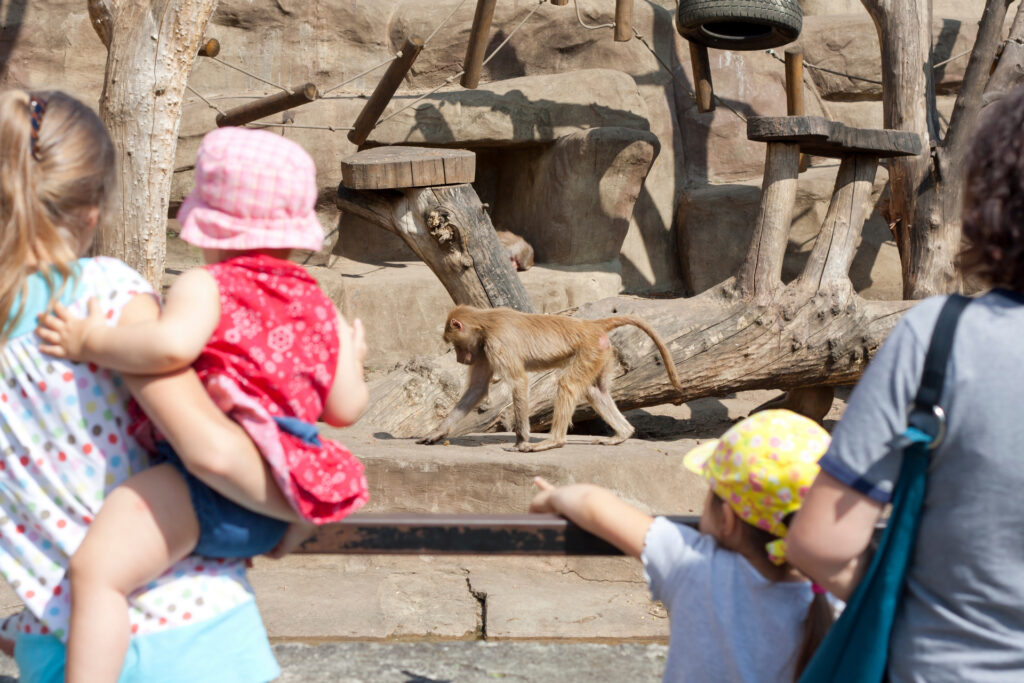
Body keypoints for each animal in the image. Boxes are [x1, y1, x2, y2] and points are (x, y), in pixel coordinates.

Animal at [419, 307, 684, 450]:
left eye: (454, 344)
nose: (459, 359)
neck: (485, 323)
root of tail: (590, 325)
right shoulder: (482, 351)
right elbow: (477, 389)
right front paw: (437, 433)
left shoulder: (496, 343)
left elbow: (519, 382)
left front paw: (521, 440)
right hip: (600, 352)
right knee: (594, 391)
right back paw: (623, 434)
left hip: (590, 349)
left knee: (568, 385)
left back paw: (554, 441)